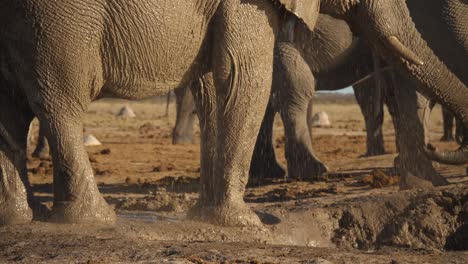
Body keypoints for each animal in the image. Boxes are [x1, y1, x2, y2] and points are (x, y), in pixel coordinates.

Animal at [0, 0, 468, 229]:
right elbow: (252, 74)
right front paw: (246, 220)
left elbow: (215, 84)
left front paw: (209, 214)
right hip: (56, 22)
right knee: (60, 99)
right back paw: (92, 219)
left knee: (12, 112)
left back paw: (24, 216)